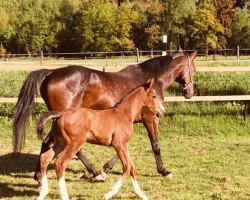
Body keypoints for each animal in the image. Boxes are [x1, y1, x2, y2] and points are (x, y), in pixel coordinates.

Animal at [35, 79, 164, 199]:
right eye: (153, 96)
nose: (162, 111)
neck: (124, 115)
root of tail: (60, 114)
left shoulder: (125, 145)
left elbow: (132, 168)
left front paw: (142, 195)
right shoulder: (119, 144)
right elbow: (127, 167)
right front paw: (107, 195)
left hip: (61, 142)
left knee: (45, 158)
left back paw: (43, 193)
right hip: (75, 142)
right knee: (60, 163)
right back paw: (64, 195)